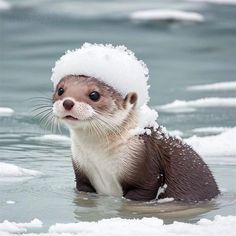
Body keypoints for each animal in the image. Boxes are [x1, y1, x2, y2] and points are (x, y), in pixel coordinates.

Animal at [52, 74, 219, 202]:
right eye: (60, 90)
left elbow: (144, 189)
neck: (99, 158)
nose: (68, 102)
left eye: (94, 94)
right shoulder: (81, 171)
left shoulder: (145, 165)